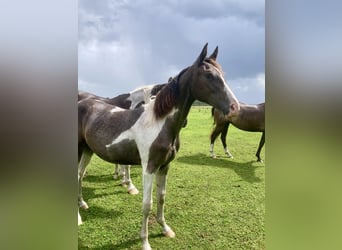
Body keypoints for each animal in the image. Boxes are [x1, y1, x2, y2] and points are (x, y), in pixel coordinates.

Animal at [78, 43, 239, 250]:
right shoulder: (149, 168)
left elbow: (162, 197)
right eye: (209, 75)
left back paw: (82, 205)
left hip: (87, 150)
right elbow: (147, 204)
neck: (159, 123)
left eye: (223, 74)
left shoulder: (165, 167)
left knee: (79, 175)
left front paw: (165, 229)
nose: (235, 107)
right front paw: (145, 242)